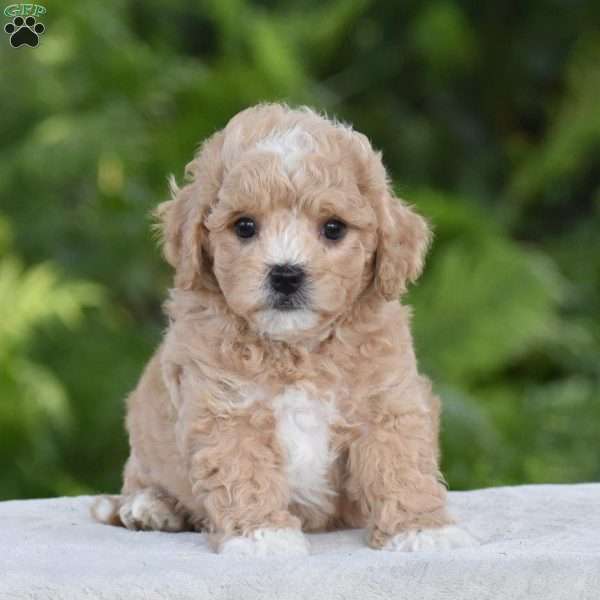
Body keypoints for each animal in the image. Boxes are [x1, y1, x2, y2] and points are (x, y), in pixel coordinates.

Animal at [92, 103, 474, 556]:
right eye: (244, 226)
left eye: (333, 228)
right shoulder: (225, 409)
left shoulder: (387, 402)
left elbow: (400, 465)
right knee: (136, 484)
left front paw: (421, 529)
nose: (286, 274)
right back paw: (151, 507)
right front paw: (262, 536)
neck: (297, 349)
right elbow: (243, 472)